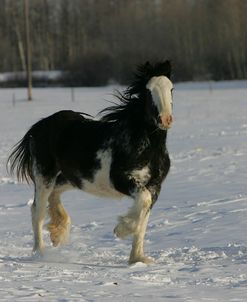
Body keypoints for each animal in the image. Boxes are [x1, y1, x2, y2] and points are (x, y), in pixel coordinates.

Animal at [7, 60, 174, 264]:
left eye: (171, 88)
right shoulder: (121, 179)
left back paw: (58, 232)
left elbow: (143, 220)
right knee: (37, 211)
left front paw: (138, 259)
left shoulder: (154, 186)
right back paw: (40, 253)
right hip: (43, 176)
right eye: (149, 92)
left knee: (54, 195)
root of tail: (39, 126)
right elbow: (143, 203)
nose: (165, 119)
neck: (144, 146)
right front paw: (121, 230)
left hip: (72, 178)